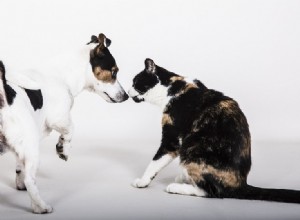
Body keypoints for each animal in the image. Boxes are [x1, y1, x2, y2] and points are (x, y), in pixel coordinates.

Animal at [0, 33, 127, 214]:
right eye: (114, 72)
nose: (126, 96)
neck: (62, 75)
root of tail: (4, 97)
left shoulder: (22, 147)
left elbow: (19, 166)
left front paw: (19, 182)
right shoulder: (59, 118)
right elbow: (70, 130)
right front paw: (63, 148)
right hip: (33, 151)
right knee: (32, 181)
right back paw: (41, 207)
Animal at [128, 58, 300, 203]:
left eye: (135, 82)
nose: (128, 92)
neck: (172, 88)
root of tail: (240, 185)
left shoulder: (172, 137)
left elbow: (155, 162)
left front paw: (142, 181)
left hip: (192, 152)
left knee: (212, 192)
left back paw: (177, 186)